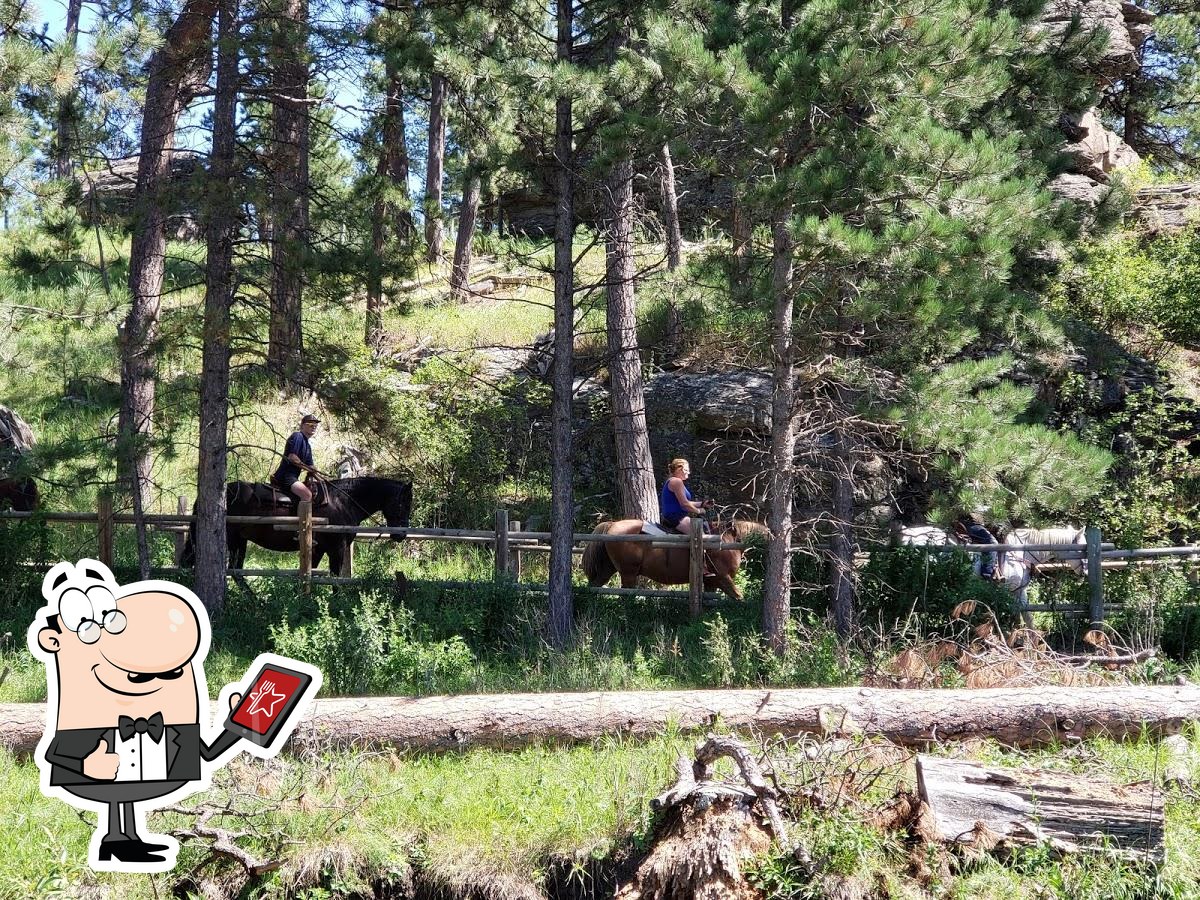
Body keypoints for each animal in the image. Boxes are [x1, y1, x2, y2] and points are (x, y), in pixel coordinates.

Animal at [180, 475, 415, 573]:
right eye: (403, 503)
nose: (400, 535)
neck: (343, 502)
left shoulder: (318, 550)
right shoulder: (336, 549)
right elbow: (335, 579)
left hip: (240, 541)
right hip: (232, 539)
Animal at [580, 520, 768, 600]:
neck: (728, 541)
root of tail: (611, 525)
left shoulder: (711, 583)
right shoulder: (723, 578)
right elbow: (739, 598)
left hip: (607, 569)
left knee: (593, 587)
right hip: (628, 573)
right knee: (626, 595)